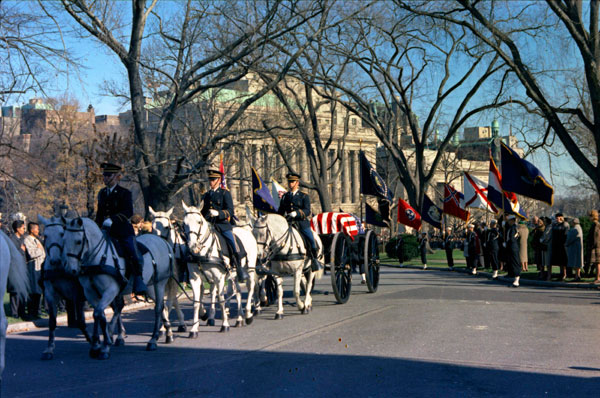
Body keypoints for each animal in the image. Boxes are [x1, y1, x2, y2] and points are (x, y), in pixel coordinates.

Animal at [64, 219, 175, 360]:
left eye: (78, 241)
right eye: (64, 240)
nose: (70, 270)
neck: (98, 258)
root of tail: (162, 241)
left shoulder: (110, 290)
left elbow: (99, 313)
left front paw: (105, 346)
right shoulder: (90, 293)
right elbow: (98, 314)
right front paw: (96, 345)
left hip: (159, 283)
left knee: (158, 307)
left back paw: (153, 340)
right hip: (149, 287)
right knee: (162, 306)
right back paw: (168, 333)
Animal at [183, 202, 258, 332]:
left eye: (199, 222)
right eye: (184, 223)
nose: (193, 246)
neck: (204, 252)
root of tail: (246, 229)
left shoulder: (219, 278)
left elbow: (221, 299)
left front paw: (225, 324)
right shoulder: (195, 279)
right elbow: (196, 302)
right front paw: (194, 329)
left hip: (250, 269)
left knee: (250, 287)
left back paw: (248, 314)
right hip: (234, 274)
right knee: (238, 291)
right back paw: (239, 318)